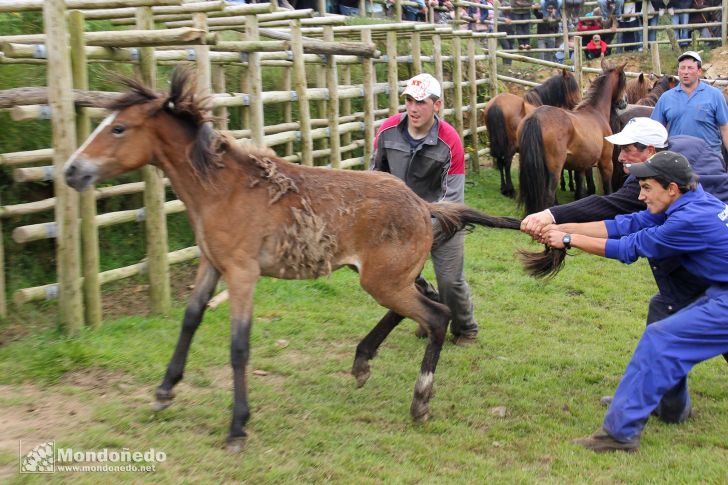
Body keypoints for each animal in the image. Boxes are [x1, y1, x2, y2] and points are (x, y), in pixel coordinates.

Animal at [61, 67, 516, 450]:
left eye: (118, 128)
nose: (71, 171)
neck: (222, 188)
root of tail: (425, 206)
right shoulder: (212, 265)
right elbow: (190, 321)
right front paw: (164, 392)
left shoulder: (242, 274)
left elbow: (238, 346)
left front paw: (237, 427)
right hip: (389, 279)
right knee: (421, 305)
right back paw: (362, 363)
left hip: (383, 282)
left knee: (436, 316)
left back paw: (419, 401)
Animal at [480, 69, 584, 197]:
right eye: (573, 88)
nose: (579, 104)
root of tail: (497, 104)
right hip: (510, 145)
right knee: (507, 162)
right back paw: (510, 190)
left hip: (497, 143)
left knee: (500, 161)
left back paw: (503, 188)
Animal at [516, 59, 628, 215]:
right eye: (624, 80)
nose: (624, 103)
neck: (596, 112)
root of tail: (536, 116)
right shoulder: (606, 163)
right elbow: (608, 190)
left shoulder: (580, 167)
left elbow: (580, 193)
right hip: (554, 170)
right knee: (548, 196)